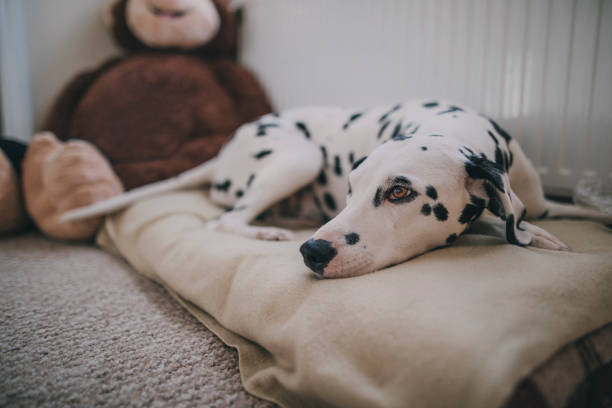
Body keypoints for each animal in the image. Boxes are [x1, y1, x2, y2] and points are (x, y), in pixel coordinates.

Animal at [63, 99, 612, 278]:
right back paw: (266, 232)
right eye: (351, 188)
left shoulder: (539, 200)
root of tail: (226, 148)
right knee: (224, 219)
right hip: (298, 157)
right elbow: (502, 223)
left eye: (400, 192)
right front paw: (536, 237)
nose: (312, 251)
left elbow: (563, 211)